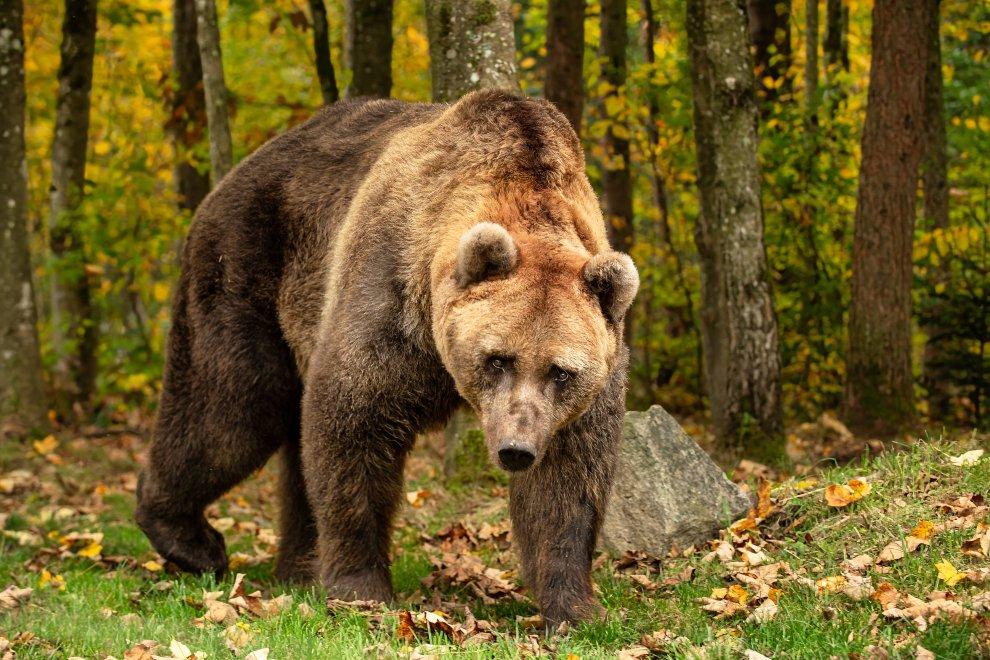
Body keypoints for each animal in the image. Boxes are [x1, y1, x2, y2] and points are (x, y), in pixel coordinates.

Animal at [135, 89, 639, 627]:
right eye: (498, 358)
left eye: (560, 372)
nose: (515, 449)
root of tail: (230, 178)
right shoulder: (388, 295)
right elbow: (354, 425)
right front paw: (362, 588)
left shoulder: (583, 391)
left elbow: (566, 482)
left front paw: (576, 606)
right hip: (246, 267)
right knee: (231, 407)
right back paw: (192, 540)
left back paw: (298, 567)